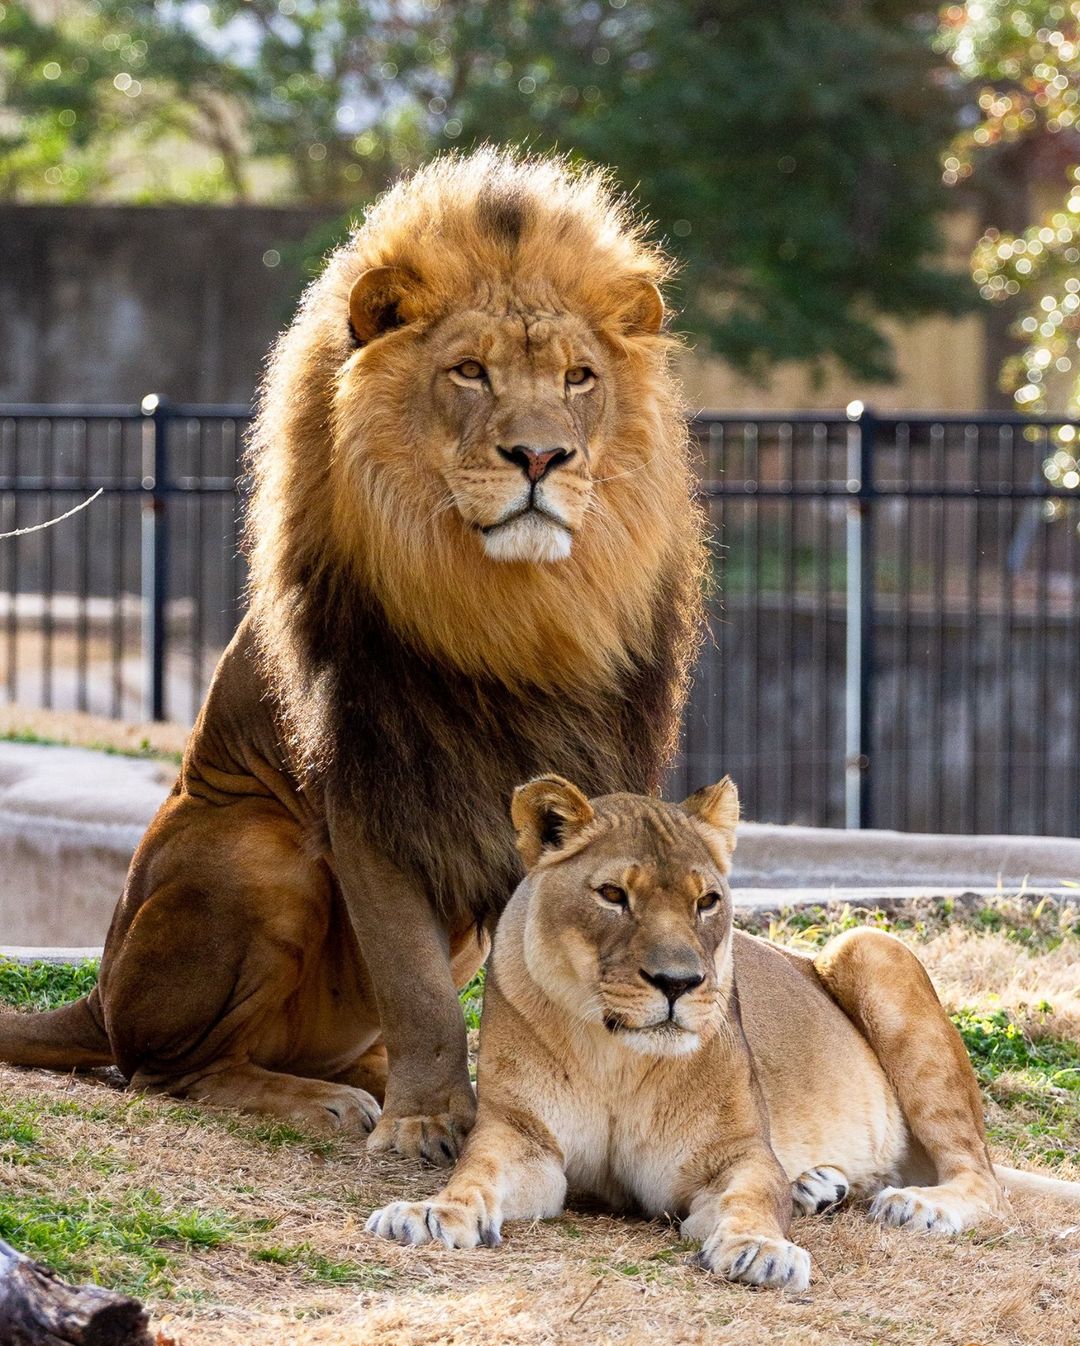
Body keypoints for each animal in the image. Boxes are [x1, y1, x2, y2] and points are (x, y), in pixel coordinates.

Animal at [0, 152, 700, 1162]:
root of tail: (95, 989)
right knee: (165, 1069)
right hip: (256, 852)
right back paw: (323, 1101)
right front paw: (426, 1123)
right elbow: (415, 987)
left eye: (579, 378)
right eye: (469, 371)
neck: (518, 611)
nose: (541, 456)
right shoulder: (372, 787)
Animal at [371, 780, 1077, 1281]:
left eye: (706, 901)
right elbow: (476, 1173)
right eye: (612, 895)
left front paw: (761, 1250)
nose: (678, 983)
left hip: (870, 945)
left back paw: (918, 1205)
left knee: (983, 1179)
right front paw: (432, 1214)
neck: (616, 1056)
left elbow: (753, 1201)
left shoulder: (734, 1155)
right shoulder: (523, 1140)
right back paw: (818, 1185)